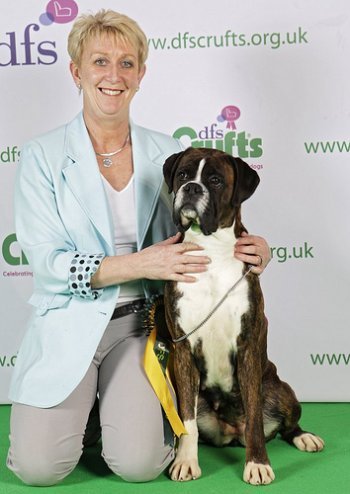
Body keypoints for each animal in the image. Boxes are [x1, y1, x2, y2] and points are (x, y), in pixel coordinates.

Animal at [163, 148, 324, 486]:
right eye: (183, 175)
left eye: (215, 180)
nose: (192, 188)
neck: (210, 250)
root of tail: (230, 433)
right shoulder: (183, 350)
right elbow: (186, 420)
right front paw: (186, 461)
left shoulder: (248, 347)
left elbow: (254, 419)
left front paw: (257, 464)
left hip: (281, 390)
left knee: (284, 425)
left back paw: (305, 437)